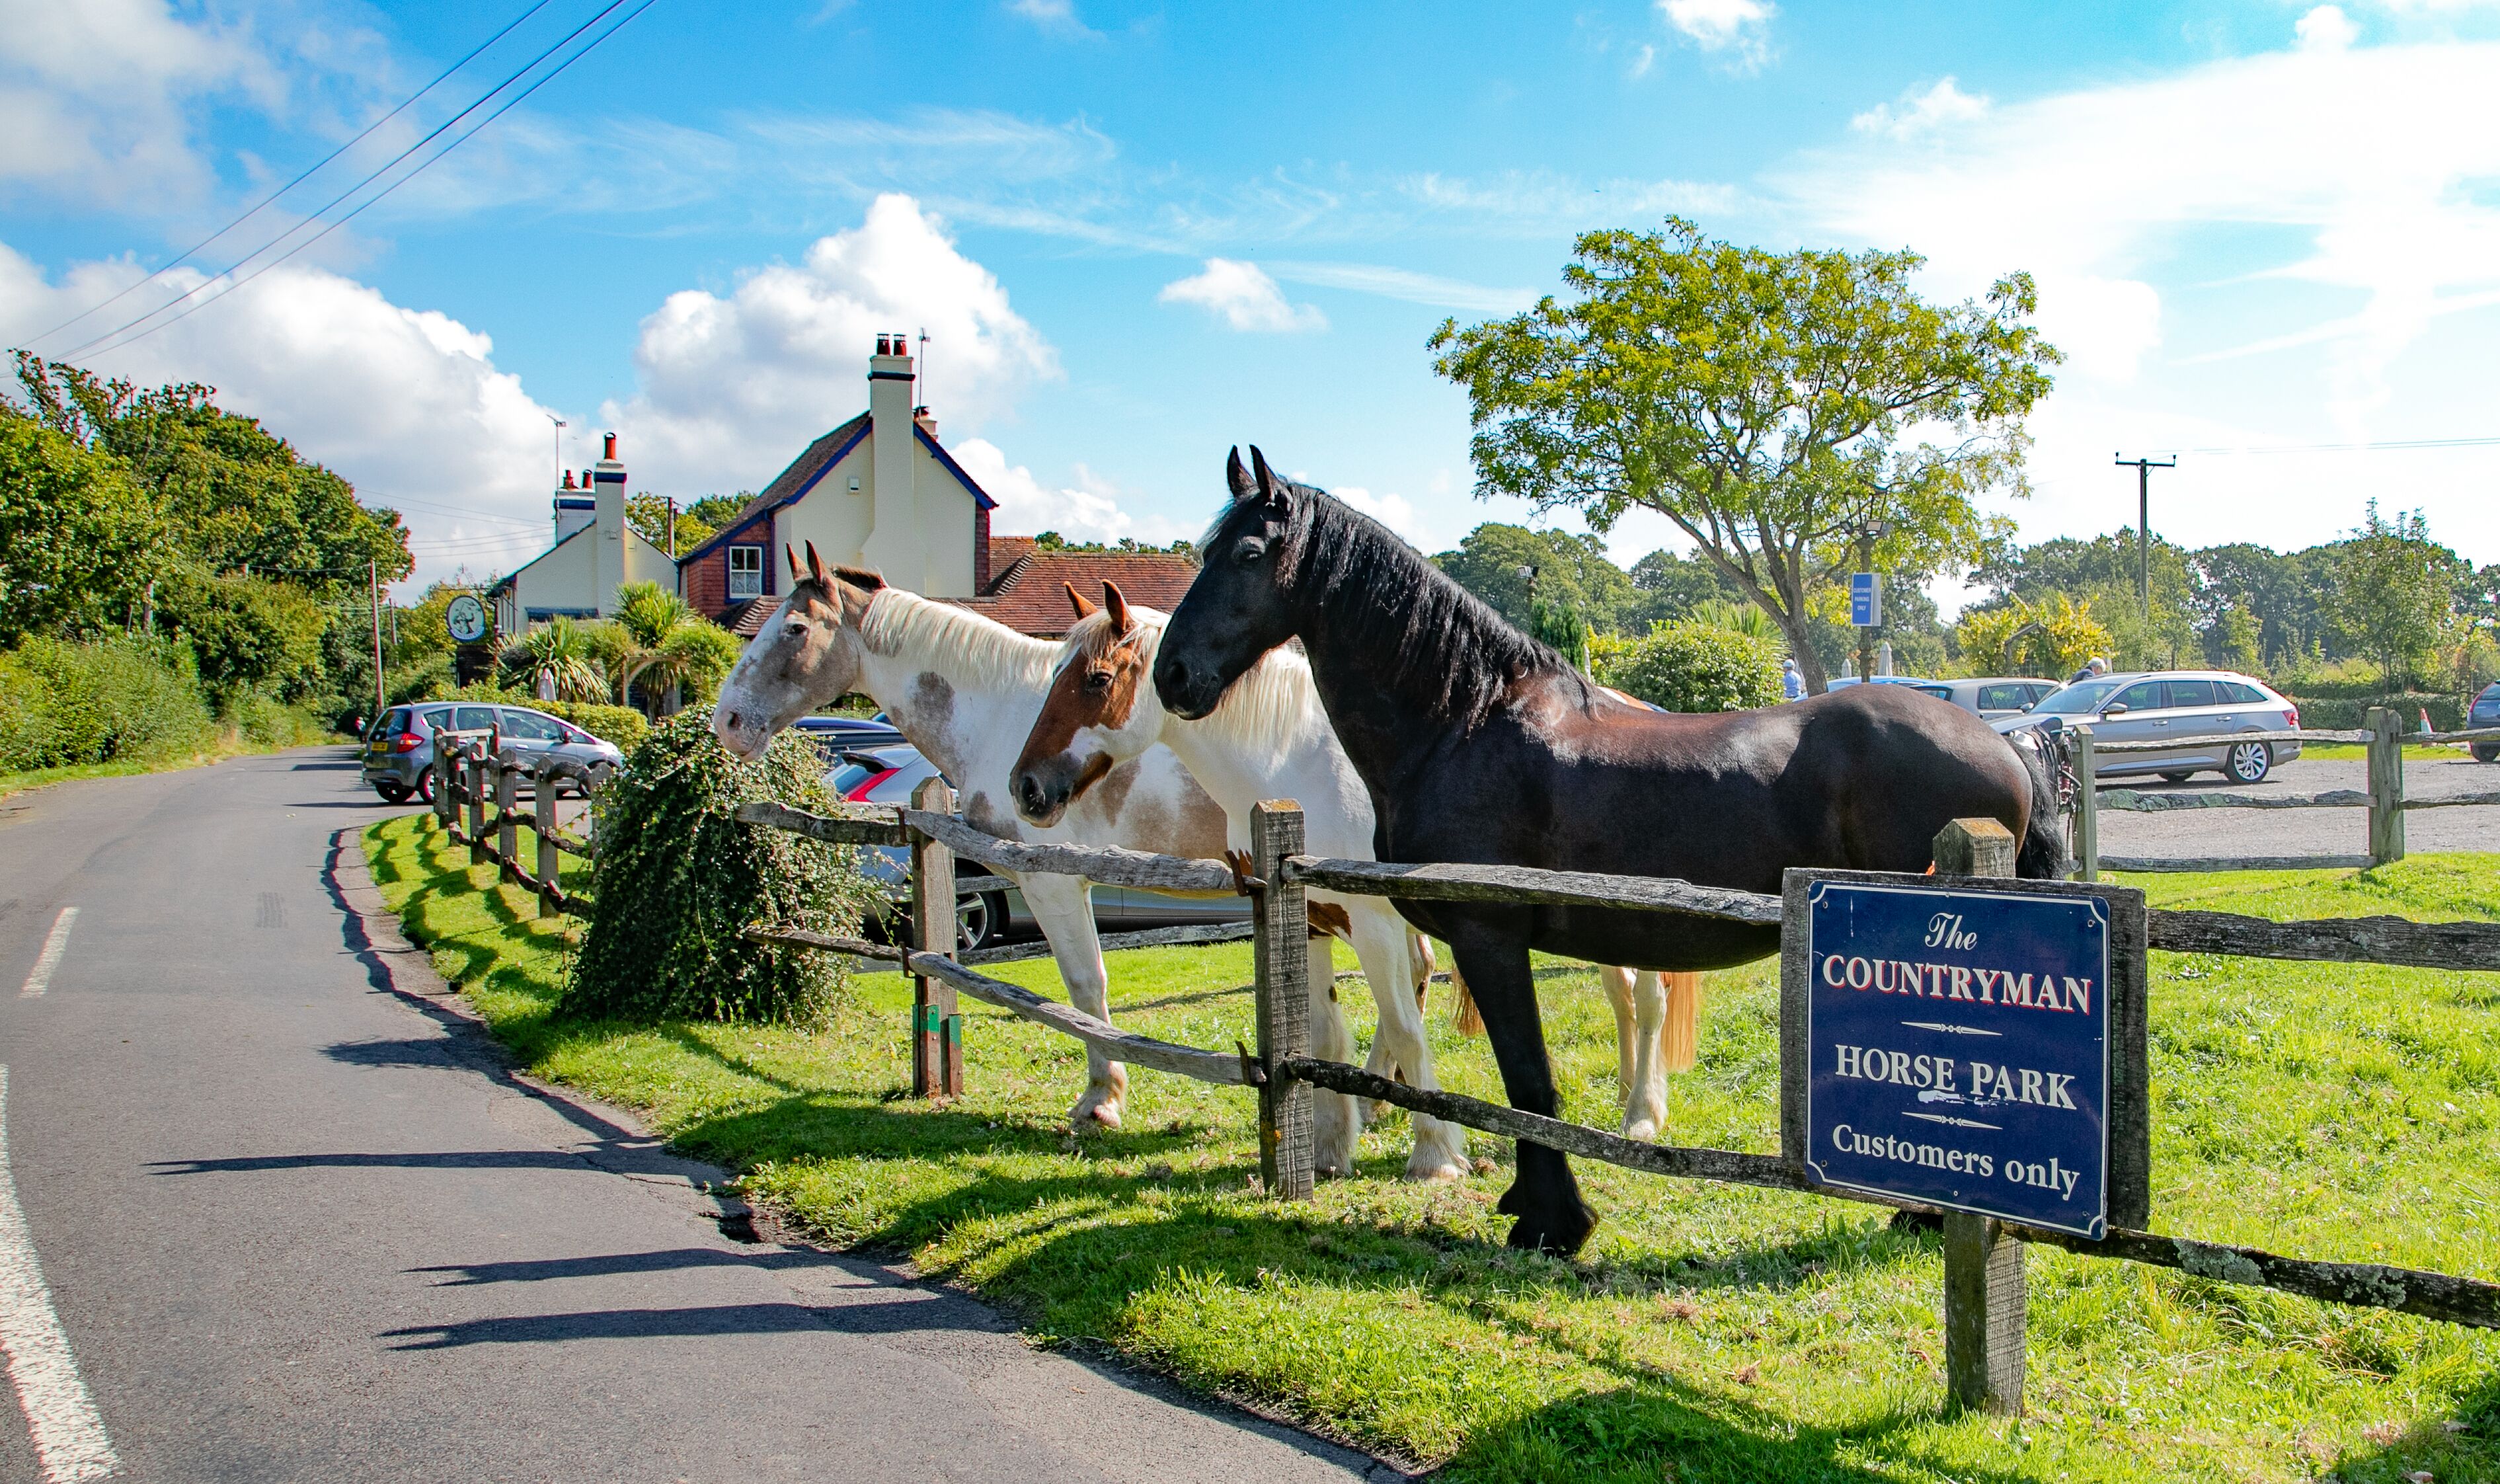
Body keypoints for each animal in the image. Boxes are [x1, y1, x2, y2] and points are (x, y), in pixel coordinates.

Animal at [1005, 577, 1709, 1144]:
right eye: (1052, 675)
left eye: (1096, 679)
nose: (1026, 785)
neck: (1289, 763)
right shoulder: (1312, 913)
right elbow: (1328, 1028)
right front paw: (1338, 1131)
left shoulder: (1372, 919)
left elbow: (1400, 1019)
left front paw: (1429, 1146)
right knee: (1620, 991)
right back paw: (1623, 1092)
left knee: (1649, 999)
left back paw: (1641, 1113)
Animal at [1159, 447, 2060, 1249]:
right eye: (1204, 550)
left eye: (1247, 553)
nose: (1173, 675)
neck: (1462, 722)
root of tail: (2005, 743)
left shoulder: (1489, 939)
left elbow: (1526, 1076)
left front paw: (1552, 1222)